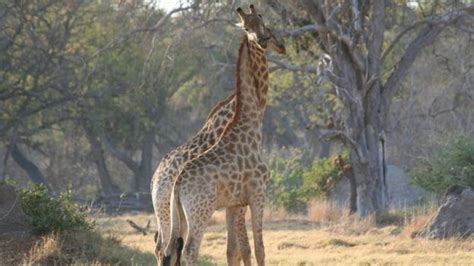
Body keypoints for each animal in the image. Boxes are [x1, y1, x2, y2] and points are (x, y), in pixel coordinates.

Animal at [154, 93, 254, 264]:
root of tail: (156, 181)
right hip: (174, 213)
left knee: (165, 246)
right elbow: (244, 249)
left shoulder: (232, 204)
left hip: (166, 213)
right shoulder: (241, 203)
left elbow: (233, 250)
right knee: (169, 248)